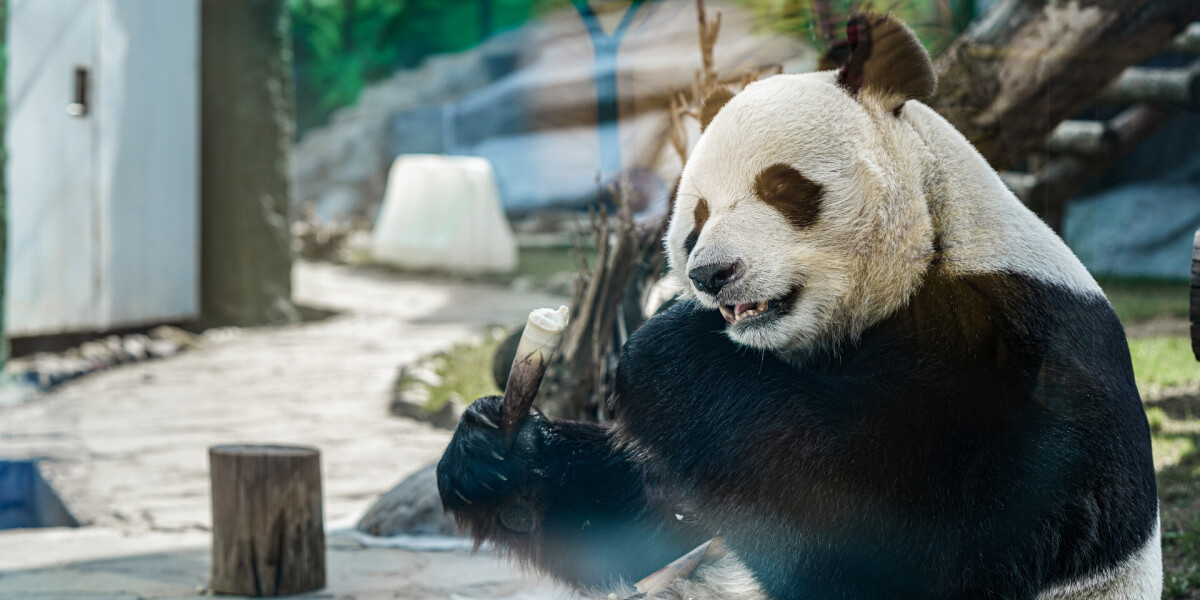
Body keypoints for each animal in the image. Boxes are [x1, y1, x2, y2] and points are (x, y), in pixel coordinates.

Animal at [436, 10, 1156, 600]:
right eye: (696, 218)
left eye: (782, 188)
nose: (711, 275)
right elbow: (658, 516)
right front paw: (498, 450)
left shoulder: (1017, 363)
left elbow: (902, 541)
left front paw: (663, 347)